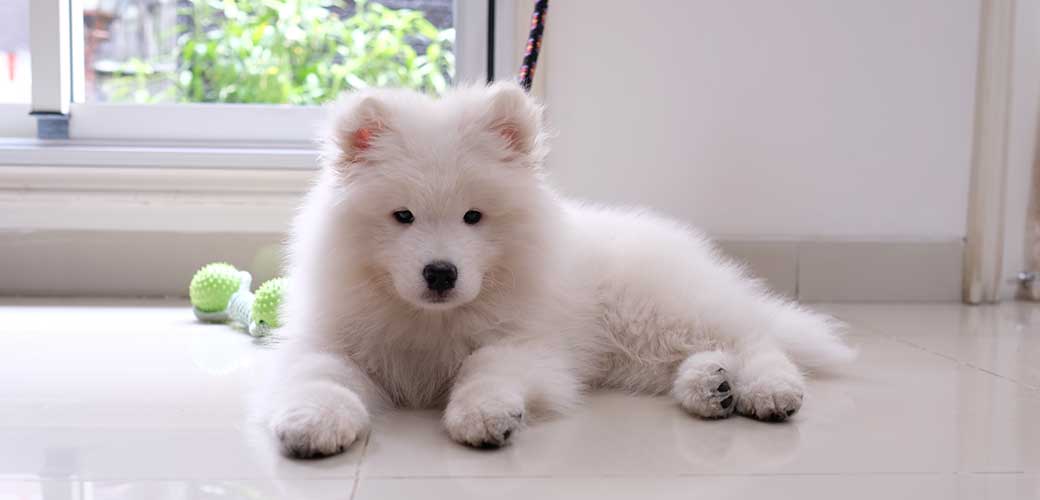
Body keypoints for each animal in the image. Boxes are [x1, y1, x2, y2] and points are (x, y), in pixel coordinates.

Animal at [262, 81, 852, 455]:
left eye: (473, 216)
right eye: (402, 216)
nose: (441, 273)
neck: (429, 323)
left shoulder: (529, 343)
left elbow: (487, 366)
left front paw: (484, 413)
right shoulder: (333, 342)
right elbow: (321, 376)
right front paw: (314, 422)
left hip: (656, 313)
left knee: (755, 338)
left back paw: (767, 389)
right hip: (638, 351)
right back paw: (712, 386)